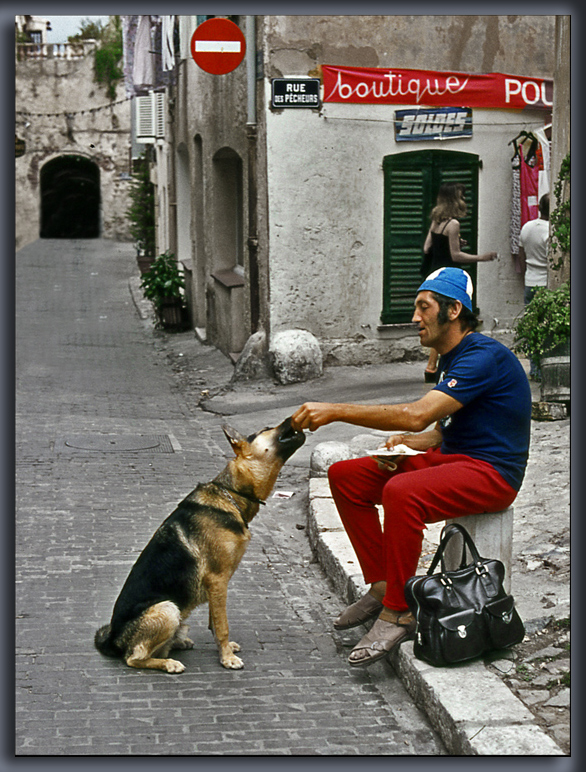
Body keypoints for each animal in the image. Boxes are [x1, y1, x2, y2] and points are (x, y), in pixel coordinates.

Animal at [93, 414, 304, 672]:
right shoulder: (218, 580)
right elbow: (222, 625)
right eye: (267, 428)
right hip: (167, 608)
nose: (293, 417)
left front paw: (223, 650)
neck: (231, 494)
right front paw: (227, 658)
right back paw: (168, 663)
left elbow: (214, 621)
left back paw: (178, 642)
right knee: (134, 657)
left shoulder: (217, 585)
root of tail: (113, 639)